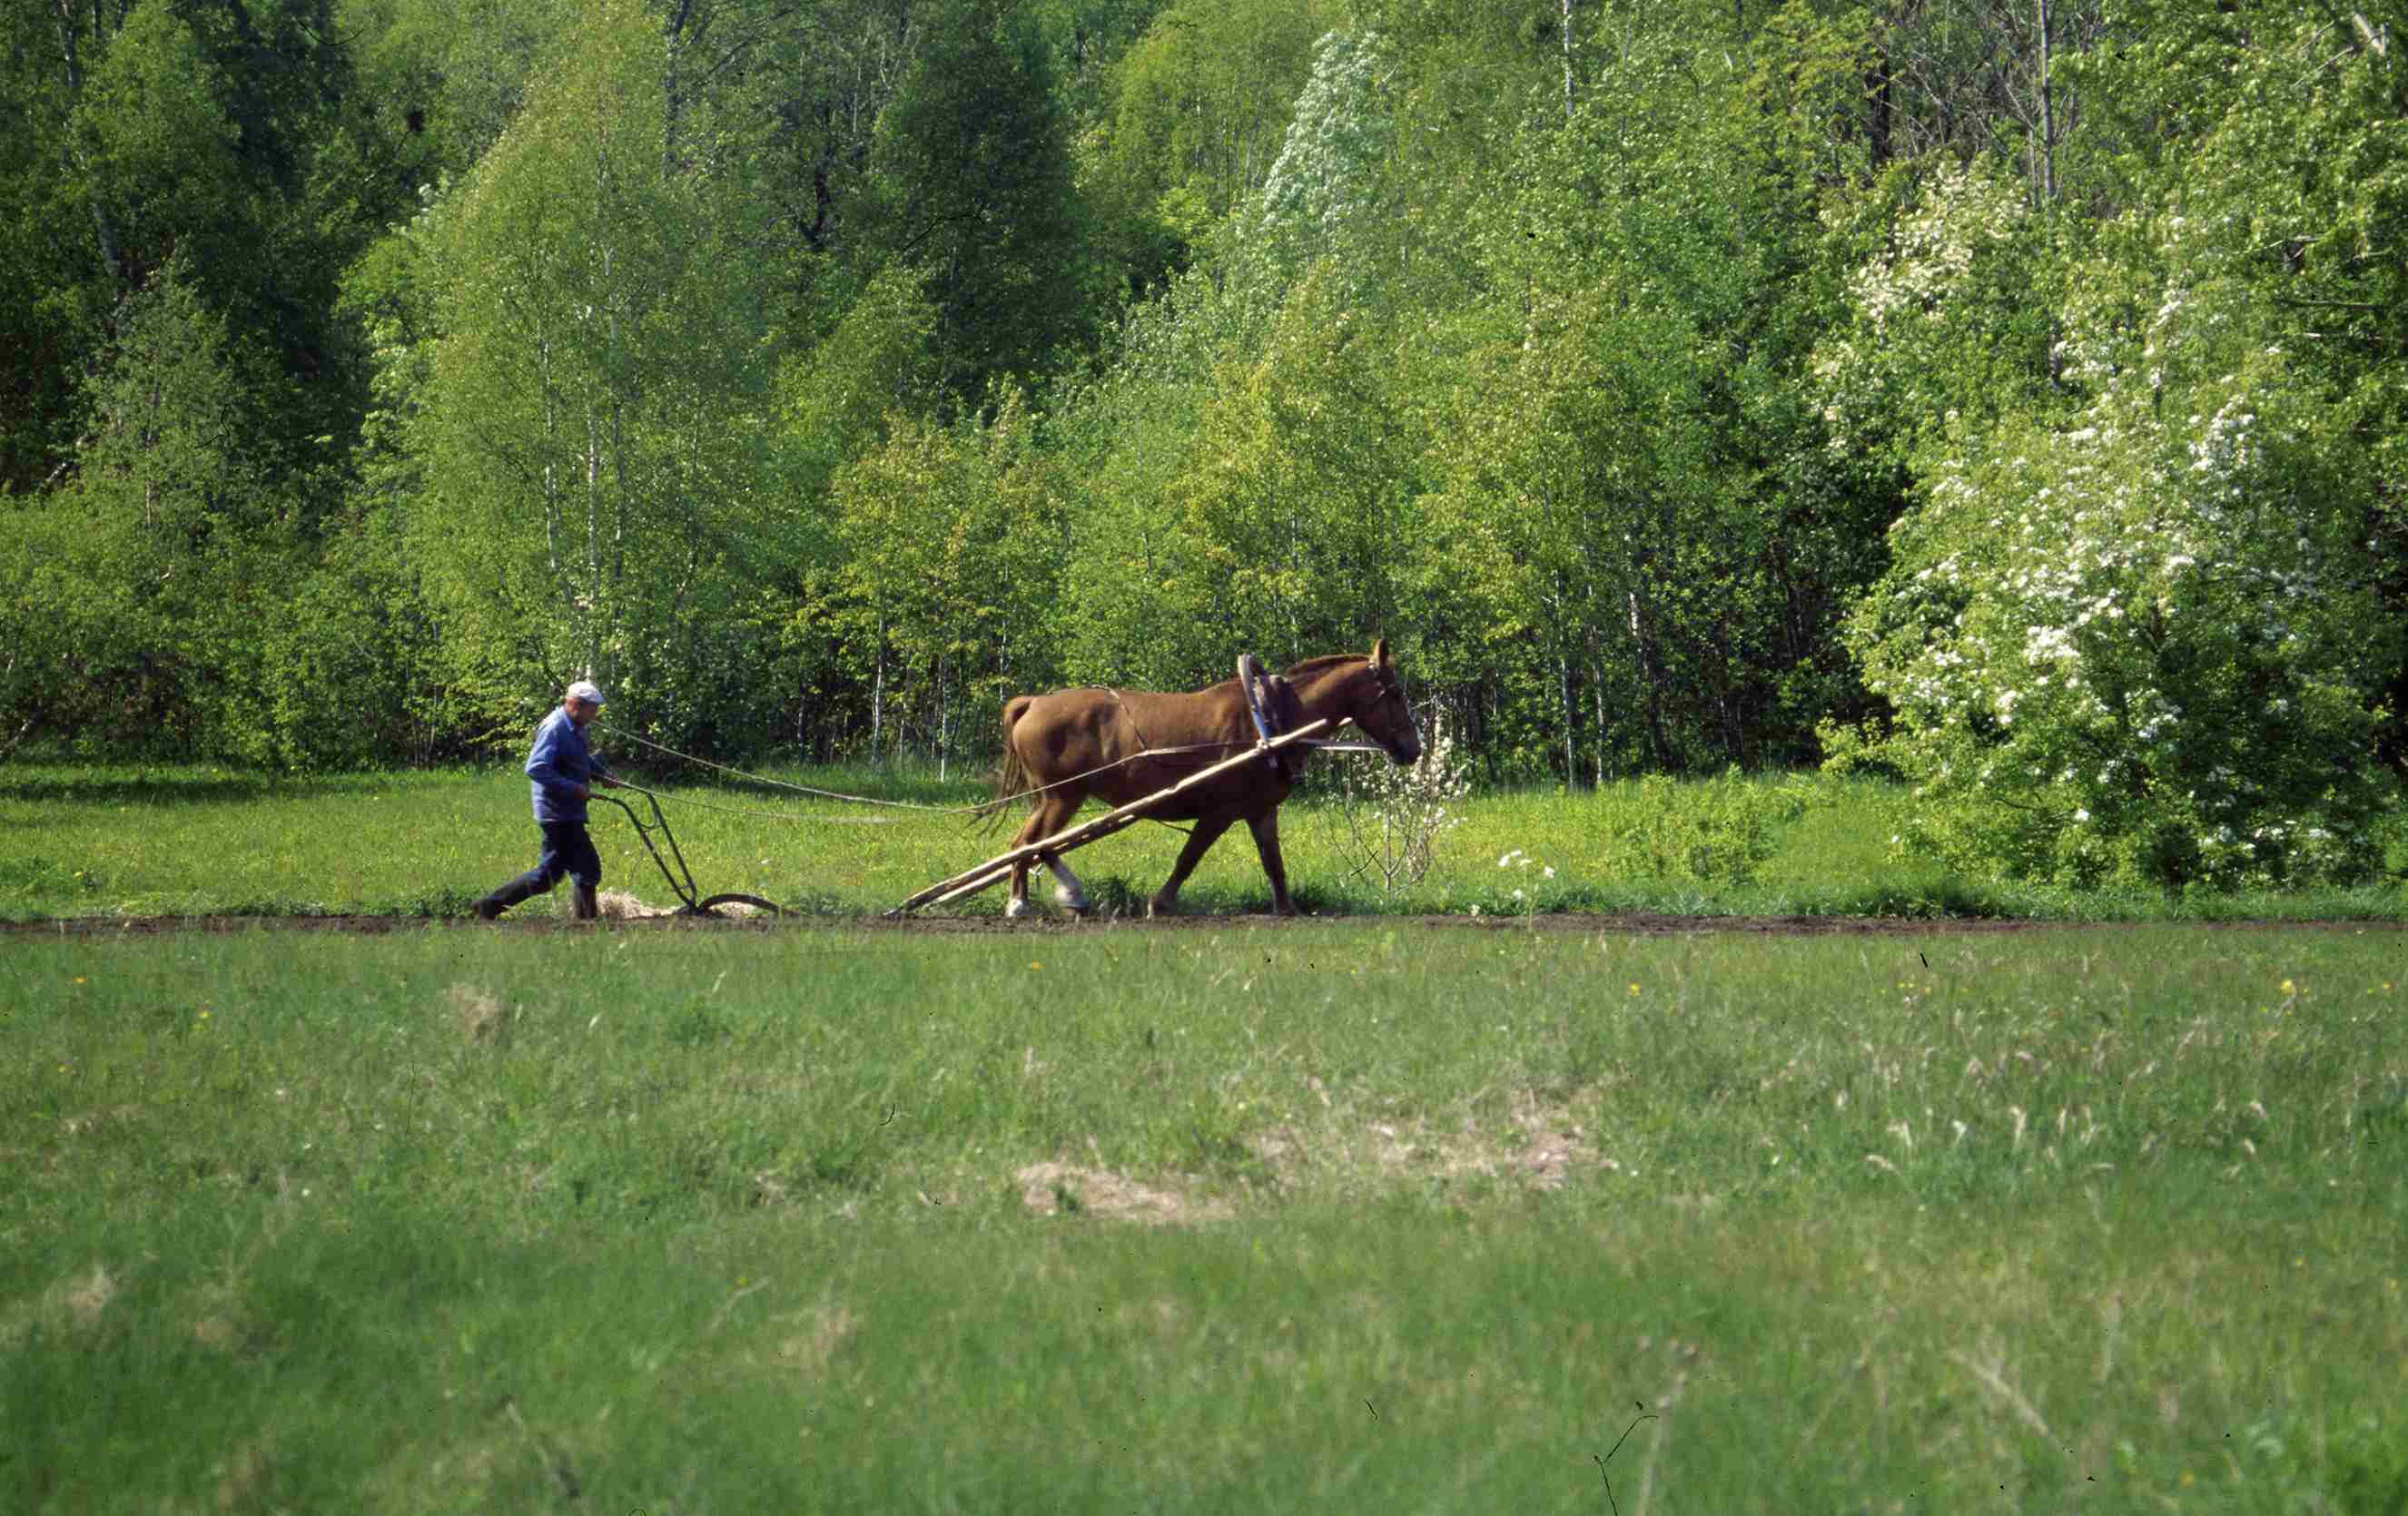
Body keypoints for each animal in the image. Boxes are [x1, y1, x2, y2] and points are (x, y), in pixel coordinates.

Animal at [987, 640, 1416, 914]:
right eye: (1395, 693)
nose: (1415, 747)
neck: (1269, 722)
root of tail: (1033, 703)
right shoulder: (1219, 812)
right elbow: (1189, 857)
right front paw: (1160, 902)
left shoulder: (1261, 810)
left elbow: (1273, 861)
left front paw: (1287, 908)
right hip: (1062, 796)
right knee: (1028, 843)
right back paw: (1021, 902)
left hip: (1055, 797)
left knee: (1038, 844)